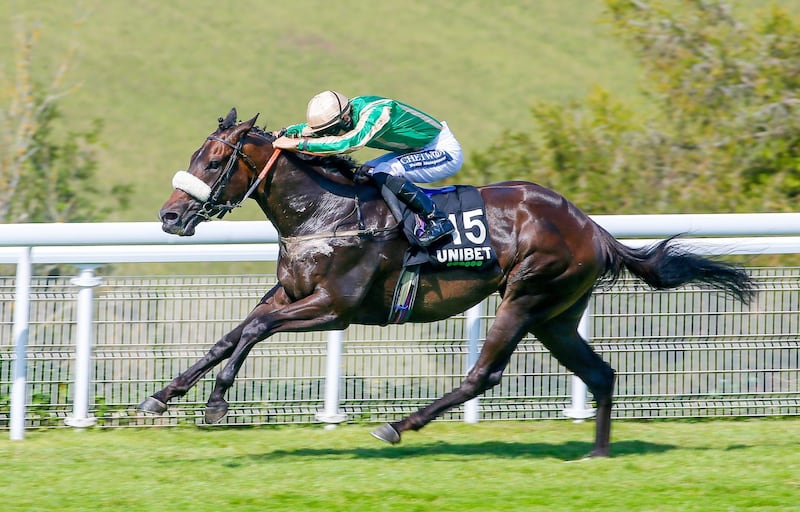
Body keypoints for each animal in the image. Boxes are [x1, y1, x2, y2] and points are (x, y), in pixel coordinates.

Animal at [141, 107, 760, 456]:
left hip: (526, 295)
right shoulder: (290, 291)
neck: (323, 211)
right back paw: (598, 456)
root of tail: (592, 226)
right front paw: (161, 397)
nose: (169, 218)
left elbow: (253, 332)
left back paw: (397, 427)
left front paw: (217, 402)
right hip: (557, 316)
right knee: (600, 373)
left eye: (214, 160)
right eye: (195, 155)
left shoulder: (333, 306)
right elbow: (230, 335)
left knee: (483, 374)